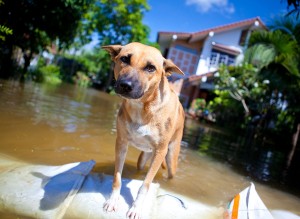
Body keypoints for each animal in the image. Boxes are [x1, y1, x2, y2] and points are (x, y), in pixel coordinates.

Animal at [102, 42, 184, 218]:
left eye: (150, 68)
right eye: (125, 59)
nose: (125, 85)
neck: (142, 107)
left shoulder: (160, 151)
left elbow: (145, 185)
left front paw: (136, 207)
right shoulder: (121, 143)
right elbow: (117, 178)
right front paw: (113, 200)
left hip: (170, 158)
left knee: (169, 173)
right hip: (144, 158)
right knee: (140, 168)